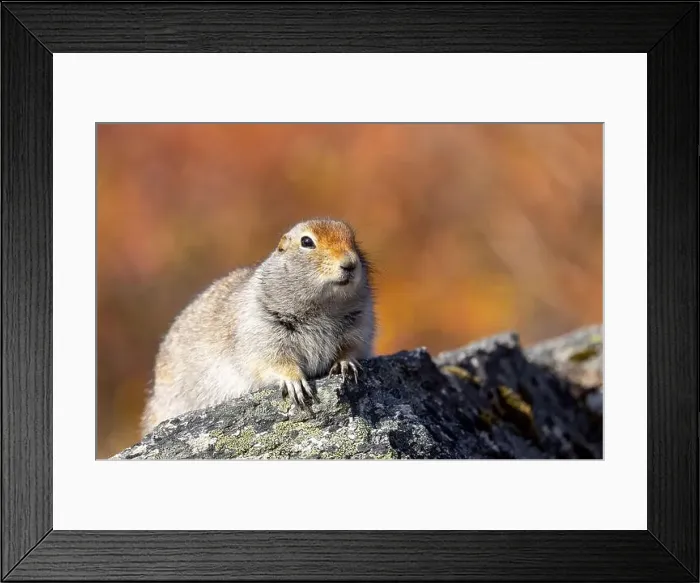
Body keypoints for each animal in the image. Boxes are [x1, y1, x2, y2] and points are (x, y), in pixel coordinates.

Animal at [141, 218, 375, 436]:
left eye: (354, 240)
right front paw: (295, 383)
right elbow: (274, 361)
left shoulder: (360, 325)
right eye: (307, 242)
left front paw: (346, 364)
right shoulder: (262, 332)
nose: (350, 263)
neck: (323, 308)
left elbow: (352, 347)